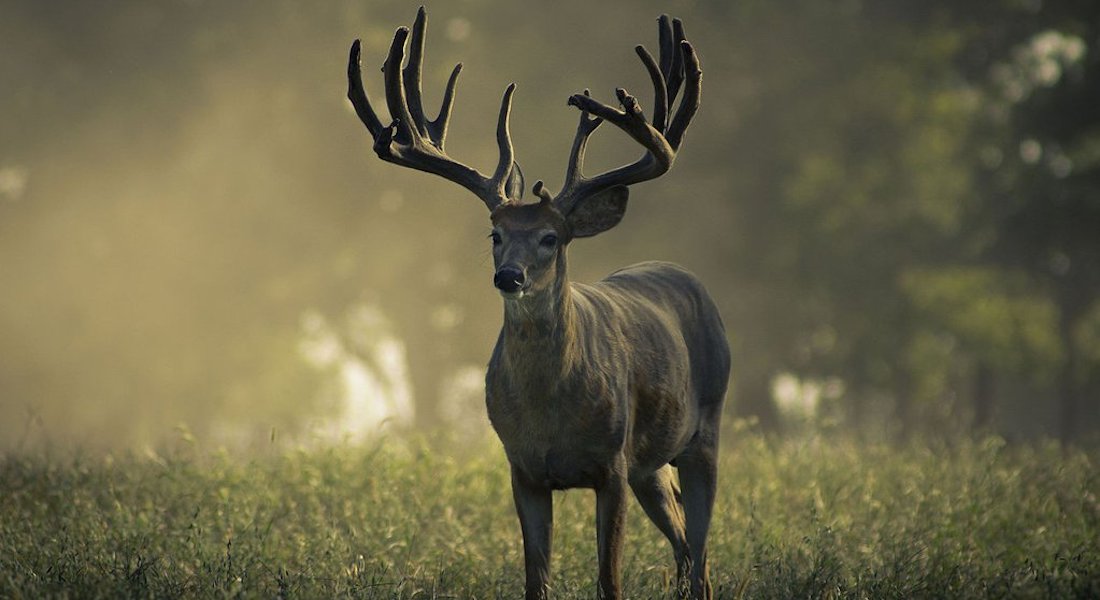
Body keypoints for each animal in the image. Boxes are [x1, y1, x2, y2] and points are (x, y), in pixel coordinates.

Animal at [347, 9, 730, 598]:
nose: (508, 276)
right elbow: (536, 579)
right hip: (651, 467)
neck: (551, 415)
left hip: (703, 429)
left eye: (552, 237)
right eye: (495, 234)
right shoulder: (523, 469)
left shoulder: (612, 464)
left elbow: (609, 580)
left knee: (703, 552)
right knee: (686, 544)